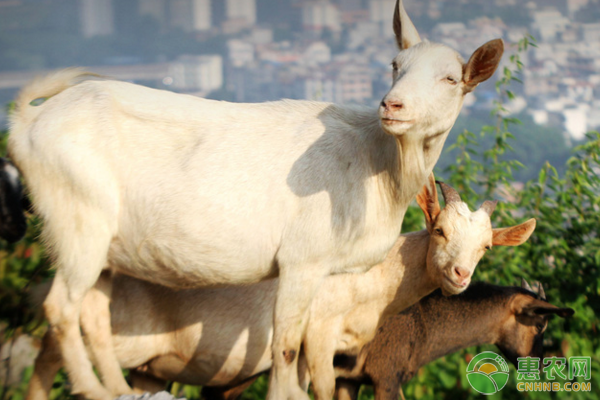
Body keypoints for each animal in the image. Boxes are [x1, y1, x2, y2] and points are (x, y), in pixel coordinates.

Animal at [9, 0, 504, 396]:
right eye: (395, 65)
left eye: (450, 78)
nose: (393, 105)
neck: (376, 162)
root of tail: (28, 122)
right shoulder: (301, 261)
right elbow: (285, 349)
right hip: (79, 220)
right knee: (61, 309)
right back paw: (93, 387)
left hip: (108, 246)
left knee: (93, 314)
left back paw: (115, 389)